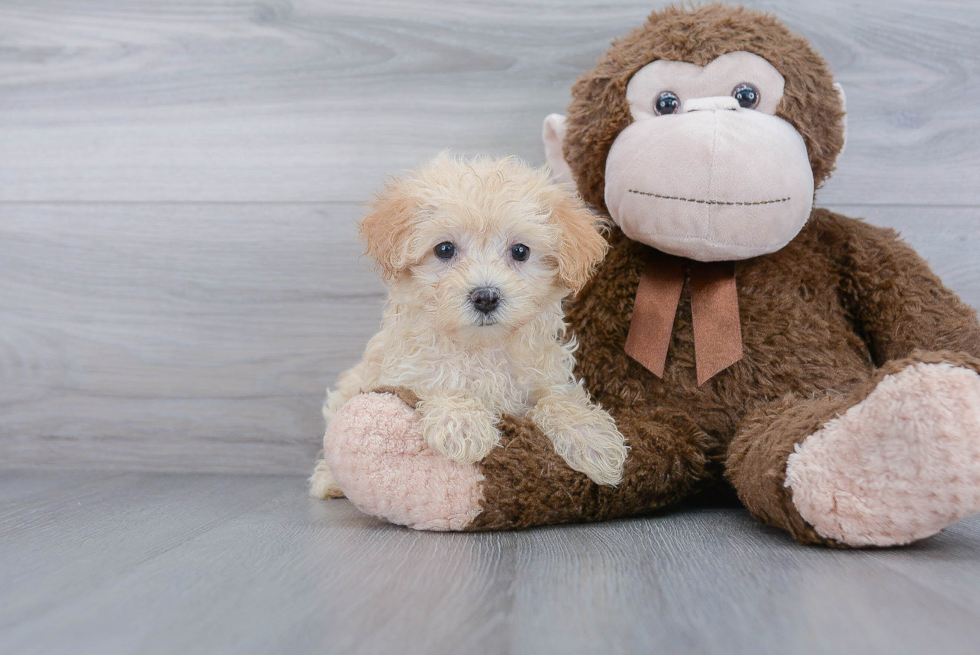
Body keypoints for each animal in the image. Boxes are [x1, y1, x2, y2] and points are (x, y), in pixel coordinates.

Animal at [310, 155, 624, 502]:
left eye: (520, 251)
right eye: (445, 249)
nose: (485, 296)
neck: (481, 348)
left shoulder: (547, 378)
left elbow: (557, 400)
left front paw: (592, 439)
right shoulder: (405, 372)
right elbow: (441, 381)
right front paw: (462, 423)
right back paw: (329, 480)